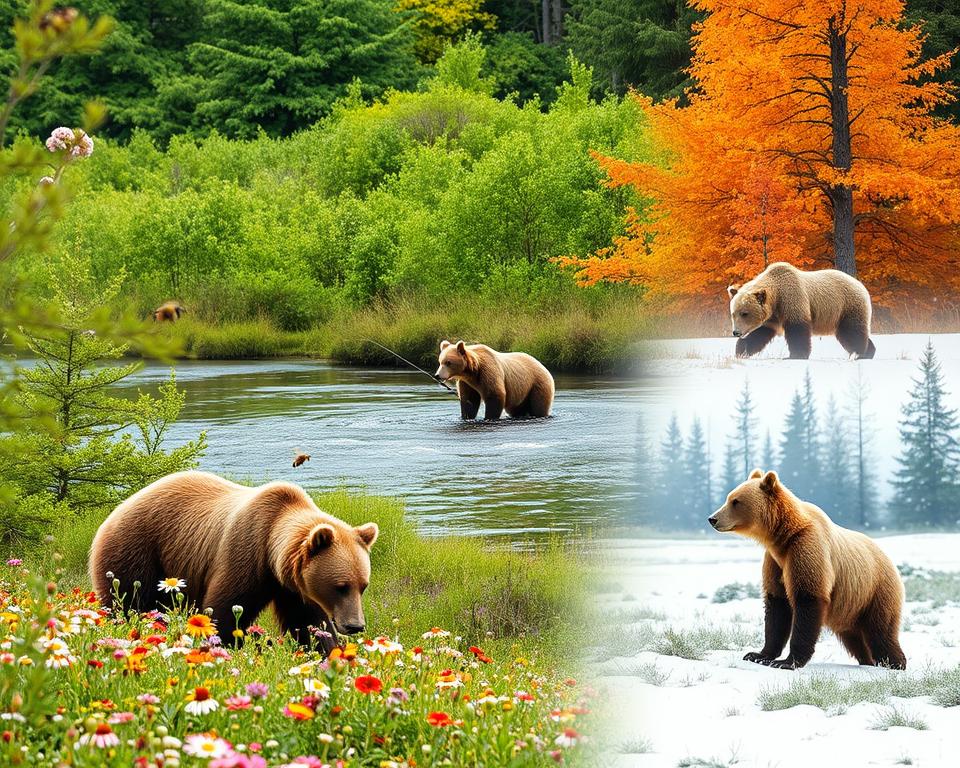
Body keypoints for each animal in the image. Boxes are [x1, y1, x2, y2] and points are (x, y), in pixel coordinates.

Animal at [89, 471, 378, 654]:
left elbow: (311, 625)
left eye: (363, 585)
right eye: (340, 586)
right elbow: (225, 610)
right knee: (128, 601)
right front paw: (225, 644)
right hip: (136, 551)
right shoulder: (245, 552)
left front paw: (326, 652)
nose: (355, 626)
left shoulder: (295, 587)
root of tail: (112, 514)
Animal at [708, 469, 905, 670]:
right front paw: (758, 654)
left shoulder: (806, 548)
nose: (713, 518)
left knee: (880, 630)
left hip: (875, 591)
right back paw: (868, 660)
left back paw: (894, 663)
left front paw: (787, 661)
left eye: (736, 501)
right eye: (728, 498)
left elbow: (808, 599)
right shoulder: (775, 561)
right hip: (850, 606)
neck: (783, 536)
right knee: (855, 638)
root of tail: (891, 562)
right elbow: (777, 605)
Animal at [727, 262, 875, 360]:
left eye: (745, 313)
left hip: (847, 305)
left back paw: (860, 352)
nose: (736, 332)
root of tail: (861, 285)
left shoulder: (792, 299)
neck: (776, 296)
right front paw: (741, 350)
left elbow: (797, 328)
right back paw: (869, 352)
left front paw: (796, 355)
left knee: (851, 330)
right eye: (733, 314)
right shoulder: (772, 316)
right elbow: (761, 332)